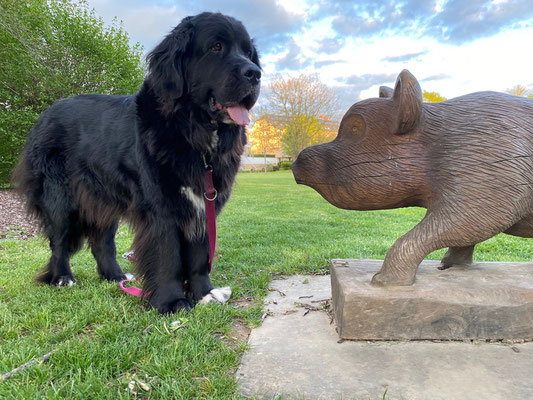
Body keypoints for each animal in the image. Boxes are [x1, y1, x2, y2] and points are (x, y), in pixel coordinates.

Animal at [13, 11, 260, 312]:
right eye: (216, 47)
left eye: (248, 53)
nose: (255, 73)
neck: (192, 132)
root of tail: (45, 114)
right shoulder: (162, 209)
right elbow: (168, 256)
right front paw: (172, 301)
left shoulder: (201, 205)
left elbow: (199, 256)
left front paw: (204, 293)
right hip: (59, 197)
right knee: (59, 241)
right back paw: (62, 278)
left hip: (103, 197)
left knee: (102, 242)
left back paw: (115, 276)